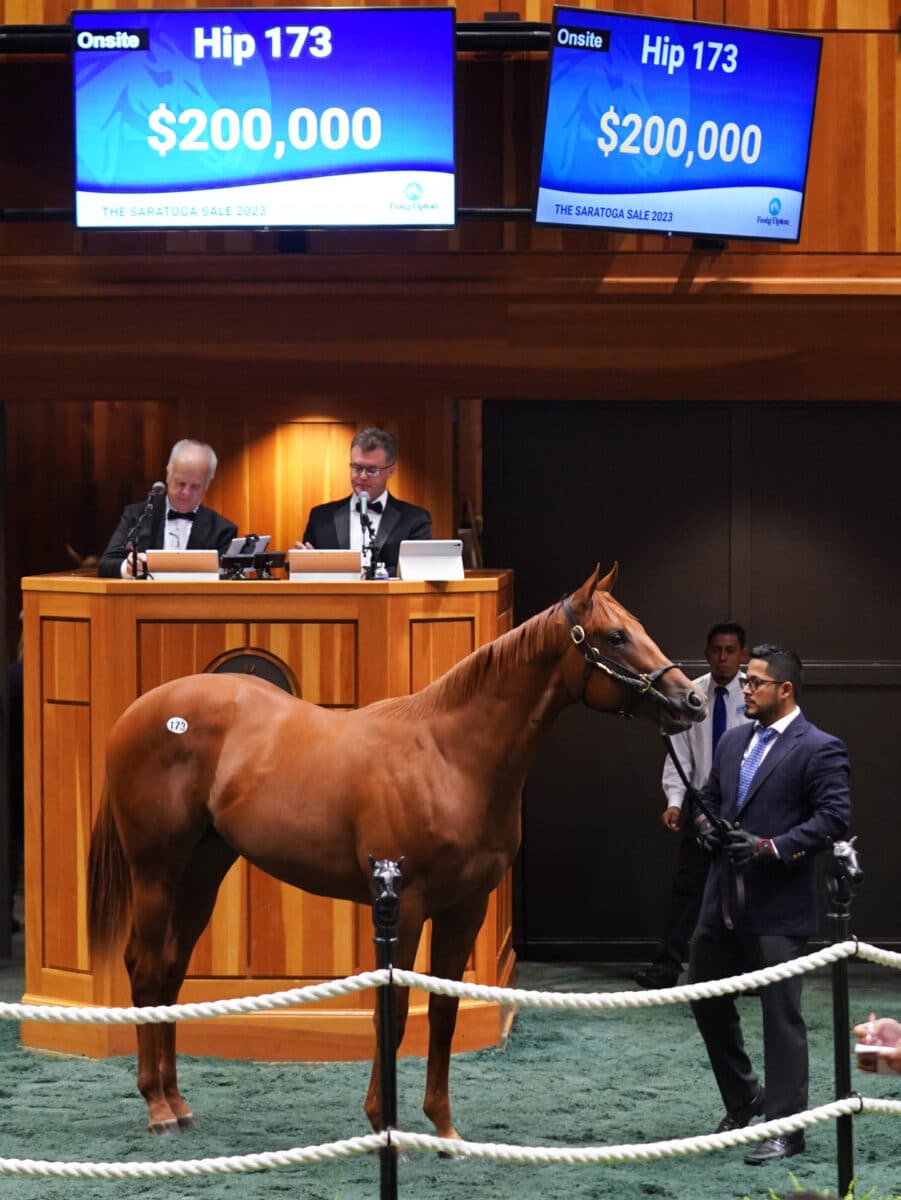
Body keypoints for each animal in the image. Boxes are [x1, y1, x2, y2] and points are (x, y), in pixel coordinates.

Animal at [86, 561, 705, 1132]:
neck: (451, 757)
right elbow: (396, 1012)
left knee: (170, 968)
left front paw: (443, 1127)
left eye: (639, 627)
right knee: (145, 967)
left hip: (204, 867)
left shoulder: (466, 908)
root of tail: (139, 712)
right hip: (156, 868)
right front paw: (383, 1121)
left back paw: (178, 1101)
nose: (691, 701)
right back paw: (158, 1108)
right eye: (615, 636)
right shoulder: (403, 909)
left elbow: (443, 1010)